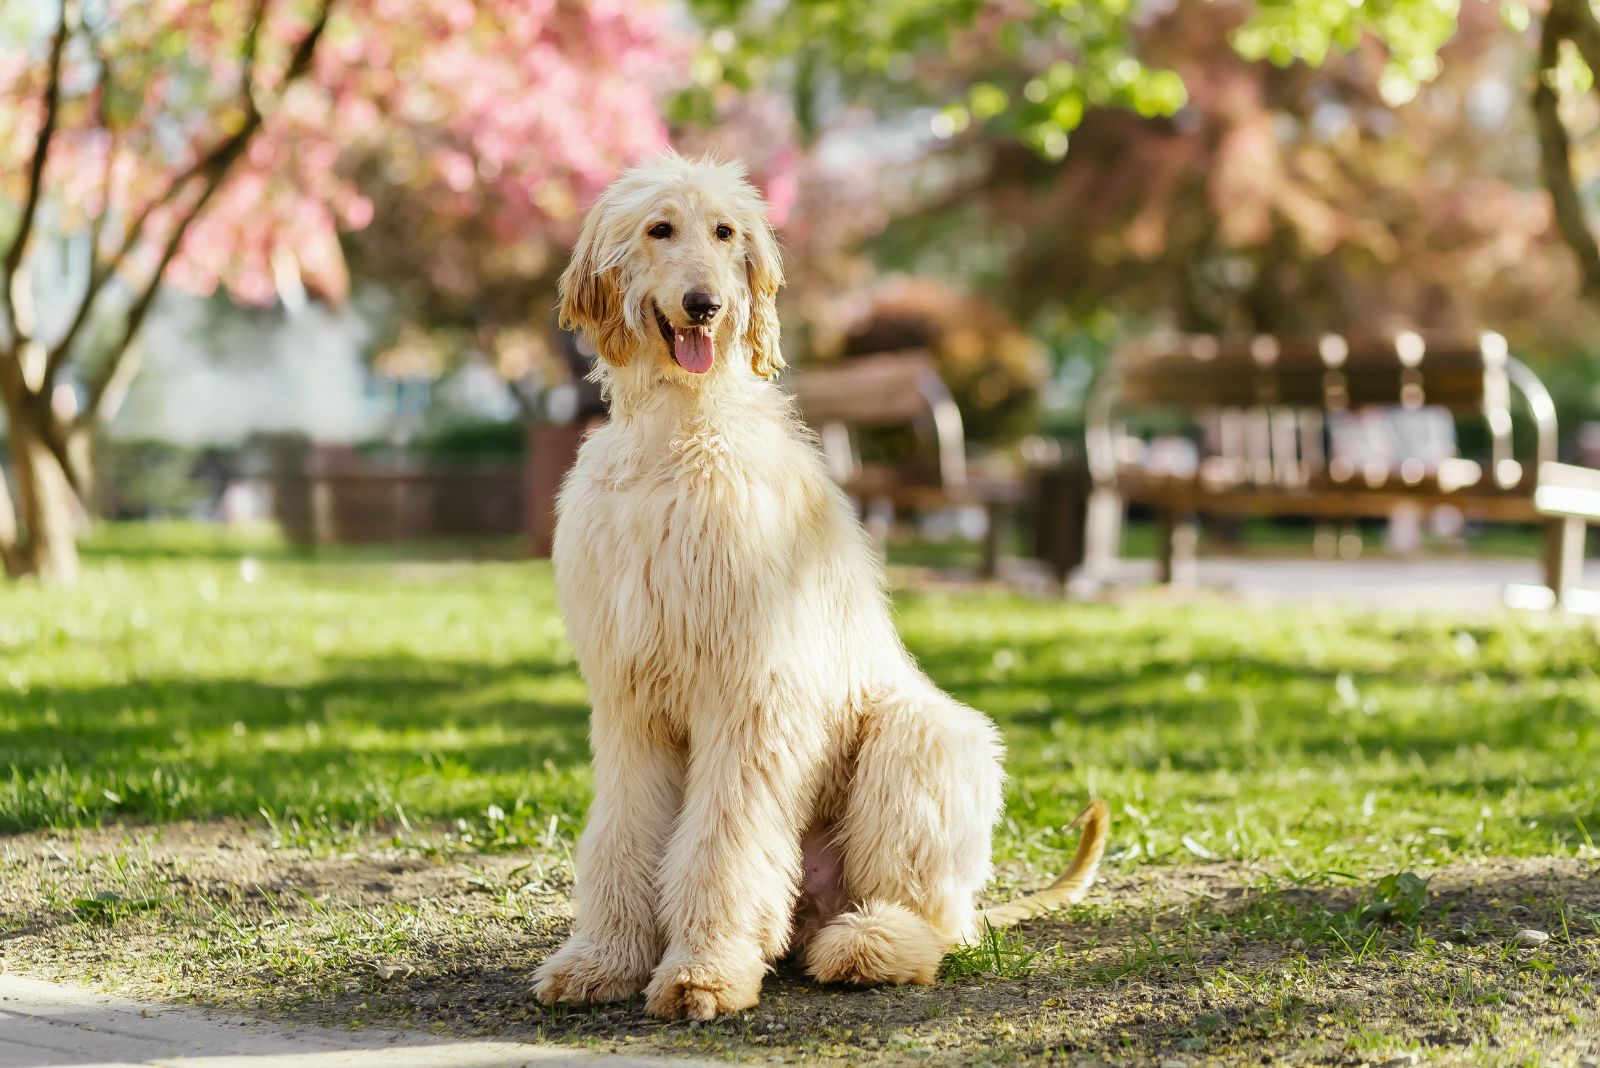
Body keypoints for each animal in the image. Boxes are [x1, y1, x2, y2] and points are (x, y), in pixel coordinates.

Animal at [531, 154, 1107, 1023]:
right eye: (660, 228)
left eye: (725, 232)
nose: (706, 305)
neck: (683, 432)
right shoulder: (632, 697)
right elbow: (623, 833)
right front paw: (602, 960)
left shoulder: (751, 690)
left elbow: (724, 841)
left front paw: (705, 969)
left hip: (923, 737)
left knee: (933, 915)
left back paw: (869, 946)